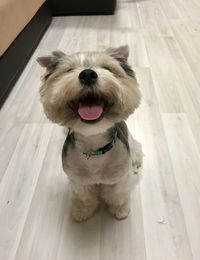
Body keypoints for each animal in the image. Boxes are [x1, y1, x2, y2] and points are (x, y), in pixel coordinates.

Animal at [37, 45, 143, 220]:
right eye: (69, 70)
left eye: (108, 68)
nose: (87, 74)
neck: (95, 147)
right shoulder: (78, 179)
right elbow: (83, 196)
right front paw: (82, 211)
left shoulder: (119, 178)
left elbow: (118, 194)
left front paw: (120, 210)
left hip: (134, 147)